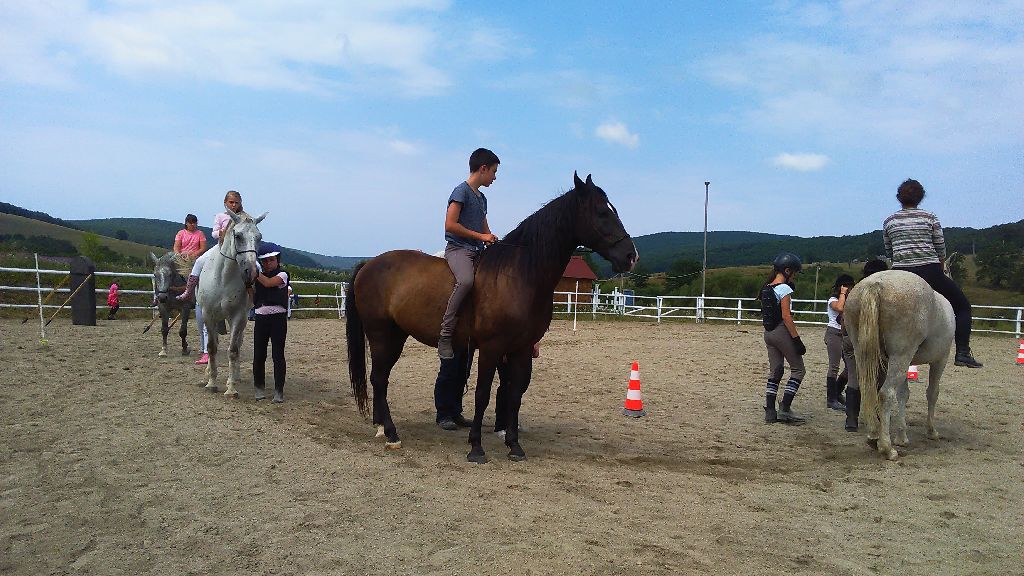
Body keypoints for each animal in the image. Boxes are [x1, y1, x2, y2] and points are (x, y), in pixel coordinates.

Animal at [193, 210, 262, 393]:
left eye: (259, 237)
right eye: (238, 236)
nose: (251, 272)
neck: (223, 277)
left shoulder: (238, 316)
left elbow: (233, 350)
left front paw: (231, 387)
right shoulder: (208, 314)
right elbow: (211, 347)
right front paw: (211, 382)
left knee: (238, 343)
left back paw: (236, 376)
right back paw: (208, 372)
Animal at [352, 171, 638, 461]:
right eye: (602, 212)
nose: (631, 256)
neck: (518, 274)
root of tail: (369, 264)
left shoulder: (521, 348)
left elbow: (513, 395)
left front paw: (514, 445)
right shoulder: (491, 348)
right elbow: (482, 394)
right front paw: (476, 447)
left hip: (396, 336)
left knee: (381, 378)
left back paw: (381, 426)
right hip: (381, 334)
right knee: (379, 378)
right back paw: (391, 433)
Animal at [843, 266, 954, 459]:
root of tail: (876, 283)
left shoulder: (904, 363)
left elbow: (903, 394)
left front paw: (902, 436)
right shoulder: (940, 360)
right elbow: (932, 393)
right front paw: (931, 431)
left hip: (867, 355)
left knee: (868, 389)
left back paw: (873, 436)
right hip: (901, 356)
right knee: (886, 394)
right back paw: (887, 448)